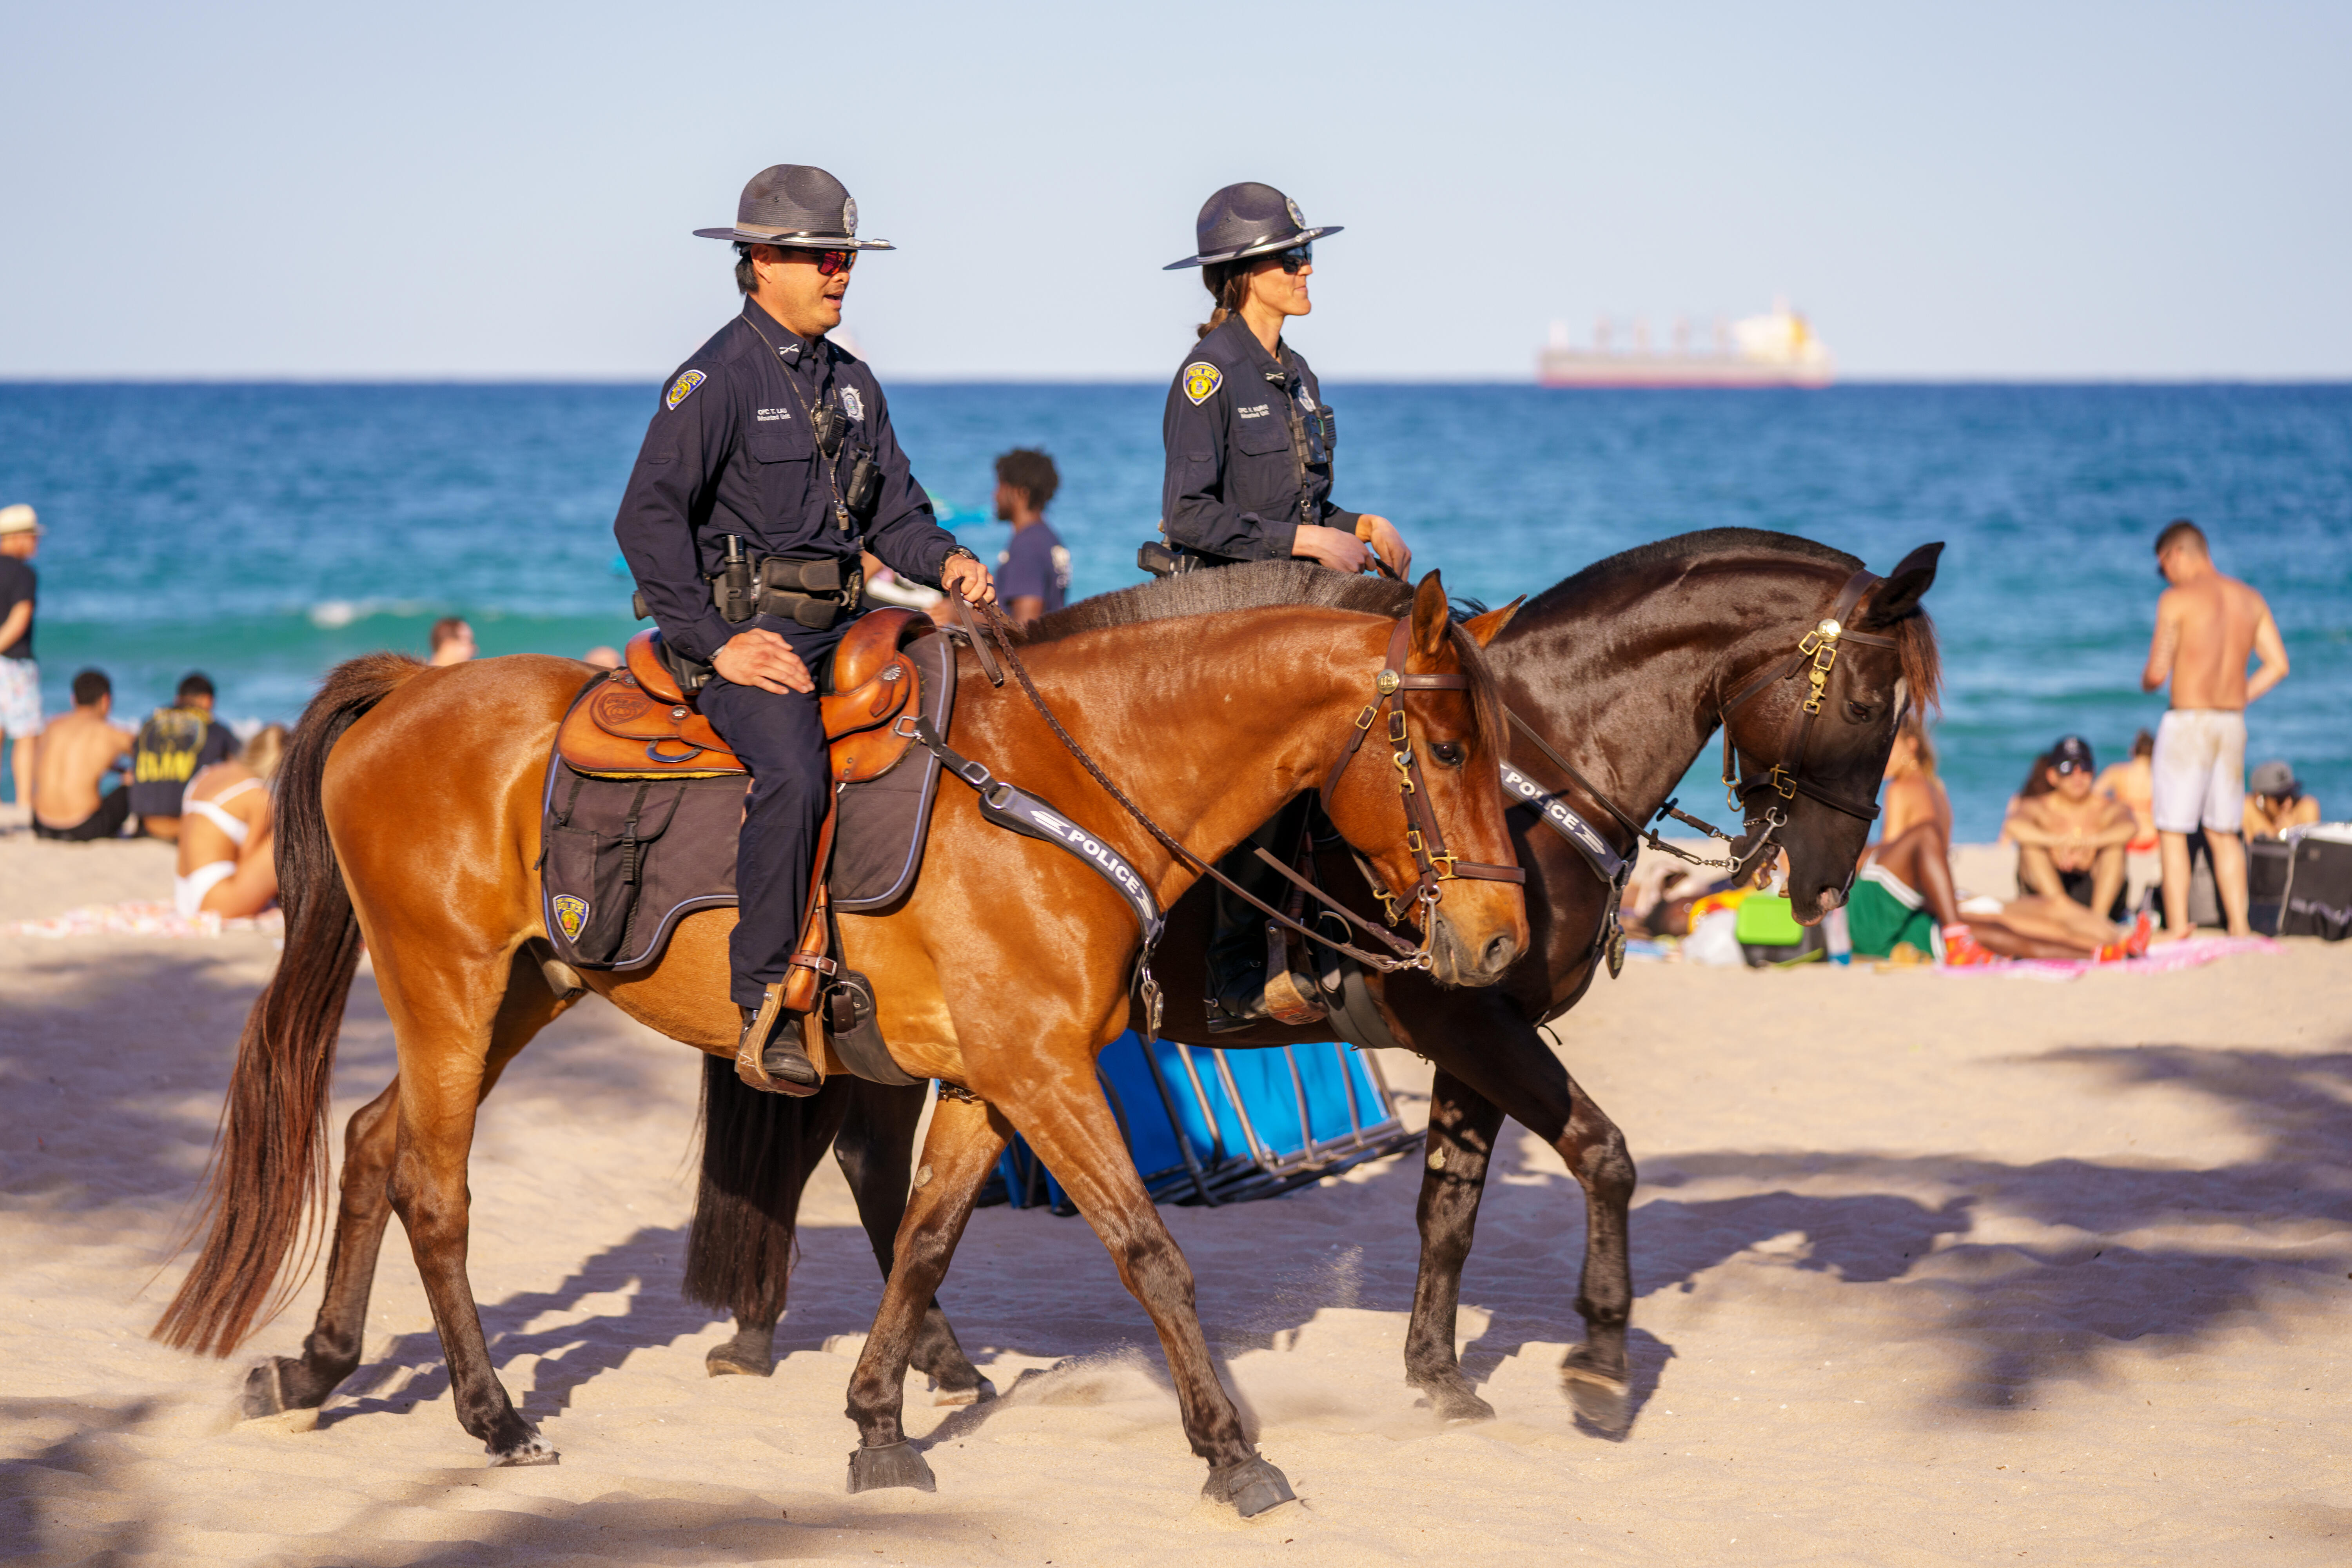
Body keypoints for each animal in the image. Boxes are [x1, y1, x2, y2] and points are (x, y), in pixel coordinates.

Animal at [161, 564, 1524, 1523]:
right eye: (1452, 748)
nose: (1502, 940)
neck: (1056, 788)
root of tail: (410, 688)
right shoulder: (1044, 1075)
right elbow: (1150, 1253)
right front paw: (1232, 1452)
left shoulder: (992, 1081)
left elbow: (922, 1240)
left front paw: (879, 1425)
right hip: (446, 990)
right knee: (434, 1189)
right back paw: (492, 1417)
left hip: (520, 993)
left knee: (372, 1142)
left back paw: (317, 1369)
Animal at [687, 526, 1938, 1457]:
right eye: (1869, 707)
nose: (1826, 883)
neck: (1536, 761)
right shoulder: (1472, 1016)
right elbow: (1603, 1154)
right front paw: (1596, 1361)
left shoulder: (1477, 1017)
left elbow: (1450, 1206)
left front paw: (1439, 1376)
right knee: (857, 1165)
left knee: (868, 1168)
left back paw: (895, 1359)